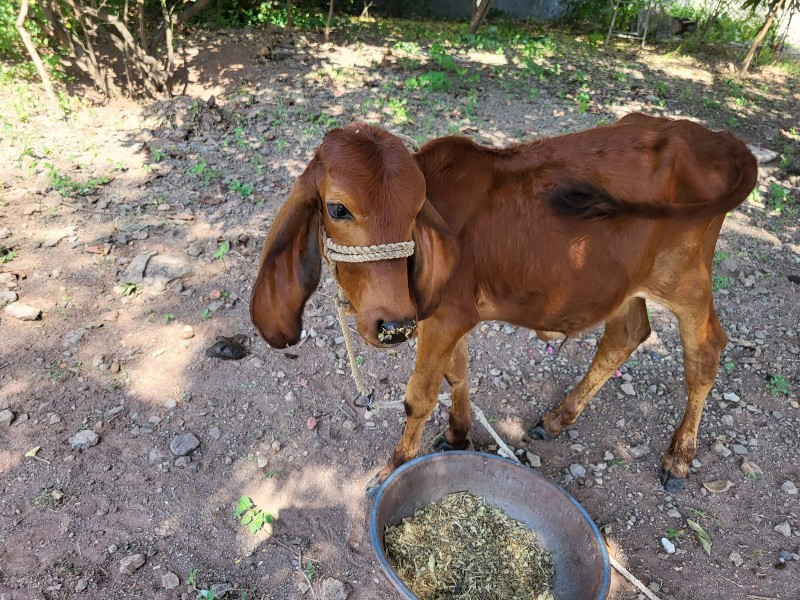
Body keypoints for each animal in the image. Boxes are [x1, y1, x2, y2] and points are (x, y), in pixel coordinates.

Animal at [250, 112, 756, 492]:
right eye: (337, 209)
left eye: (415, 213)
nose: (393, 327)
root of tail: (720, 140)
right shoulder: (446, 319)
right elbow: (458, 375)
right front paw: (458, 434)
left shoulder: (441, 321)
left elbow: (419, 396)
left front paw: (393, 467)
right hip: (625, 282)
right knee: (626, 334)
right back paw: (558, 418)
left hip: (685, 280)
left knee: (706, 351)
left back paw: (679, 458)